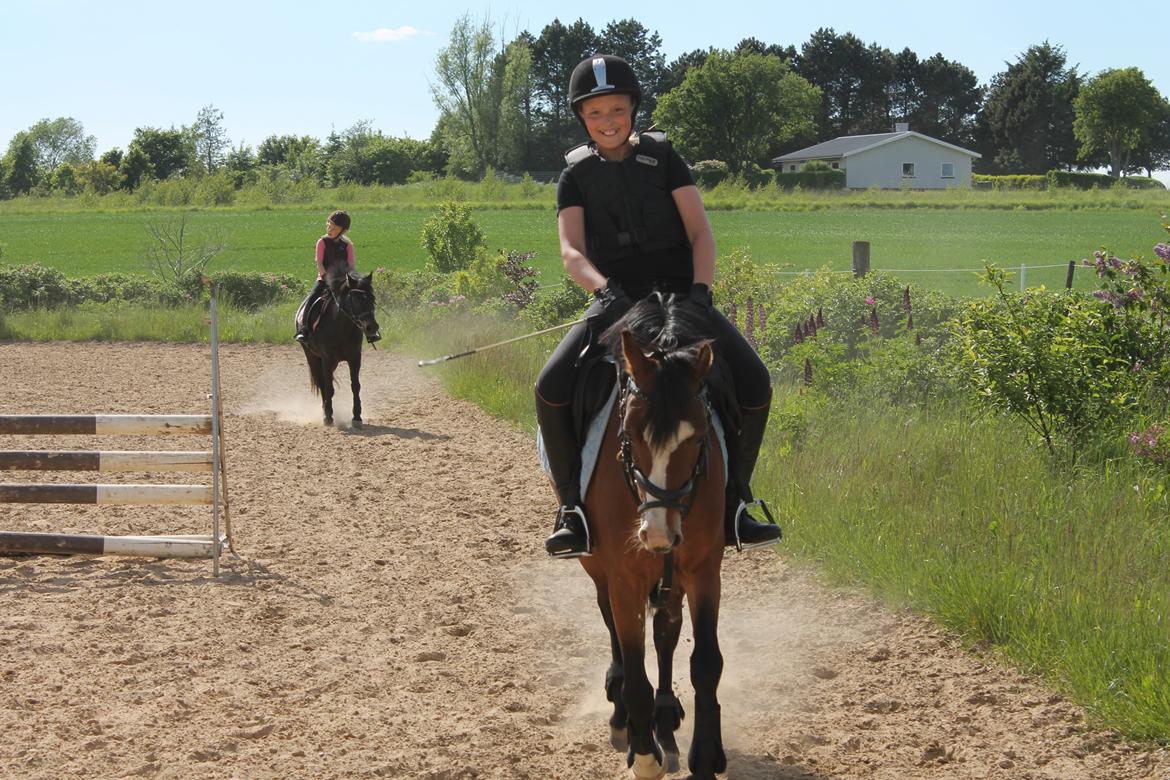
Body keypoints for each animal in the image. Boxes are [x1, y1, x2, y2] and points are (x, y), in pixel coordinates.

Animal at [301, 266, 379, 428]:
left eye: (372, 299)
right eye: (355, 300)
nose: (372, 327)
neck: (341, 326)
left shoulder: (355, 358)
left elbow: (355, 386)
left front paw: (357, 417)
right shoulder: (327, 359)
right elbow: (328, 387)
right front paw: (328, 417)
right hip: (312, 357)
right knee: (323, 384)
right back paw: (326, 411)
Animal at [585, 297, 730, 780]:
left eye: (699, 436)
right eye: (630, 433)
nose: (658, 534)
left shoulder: (704, 570)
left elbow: (705, 663)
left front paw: (705, 755)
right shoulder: (624, 575)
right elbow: (634, 671)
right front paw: (644, 754)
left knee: (667, 631)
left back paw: (665, 720)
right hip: (598, 566)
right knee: (609, 618)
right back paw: (624, 719)